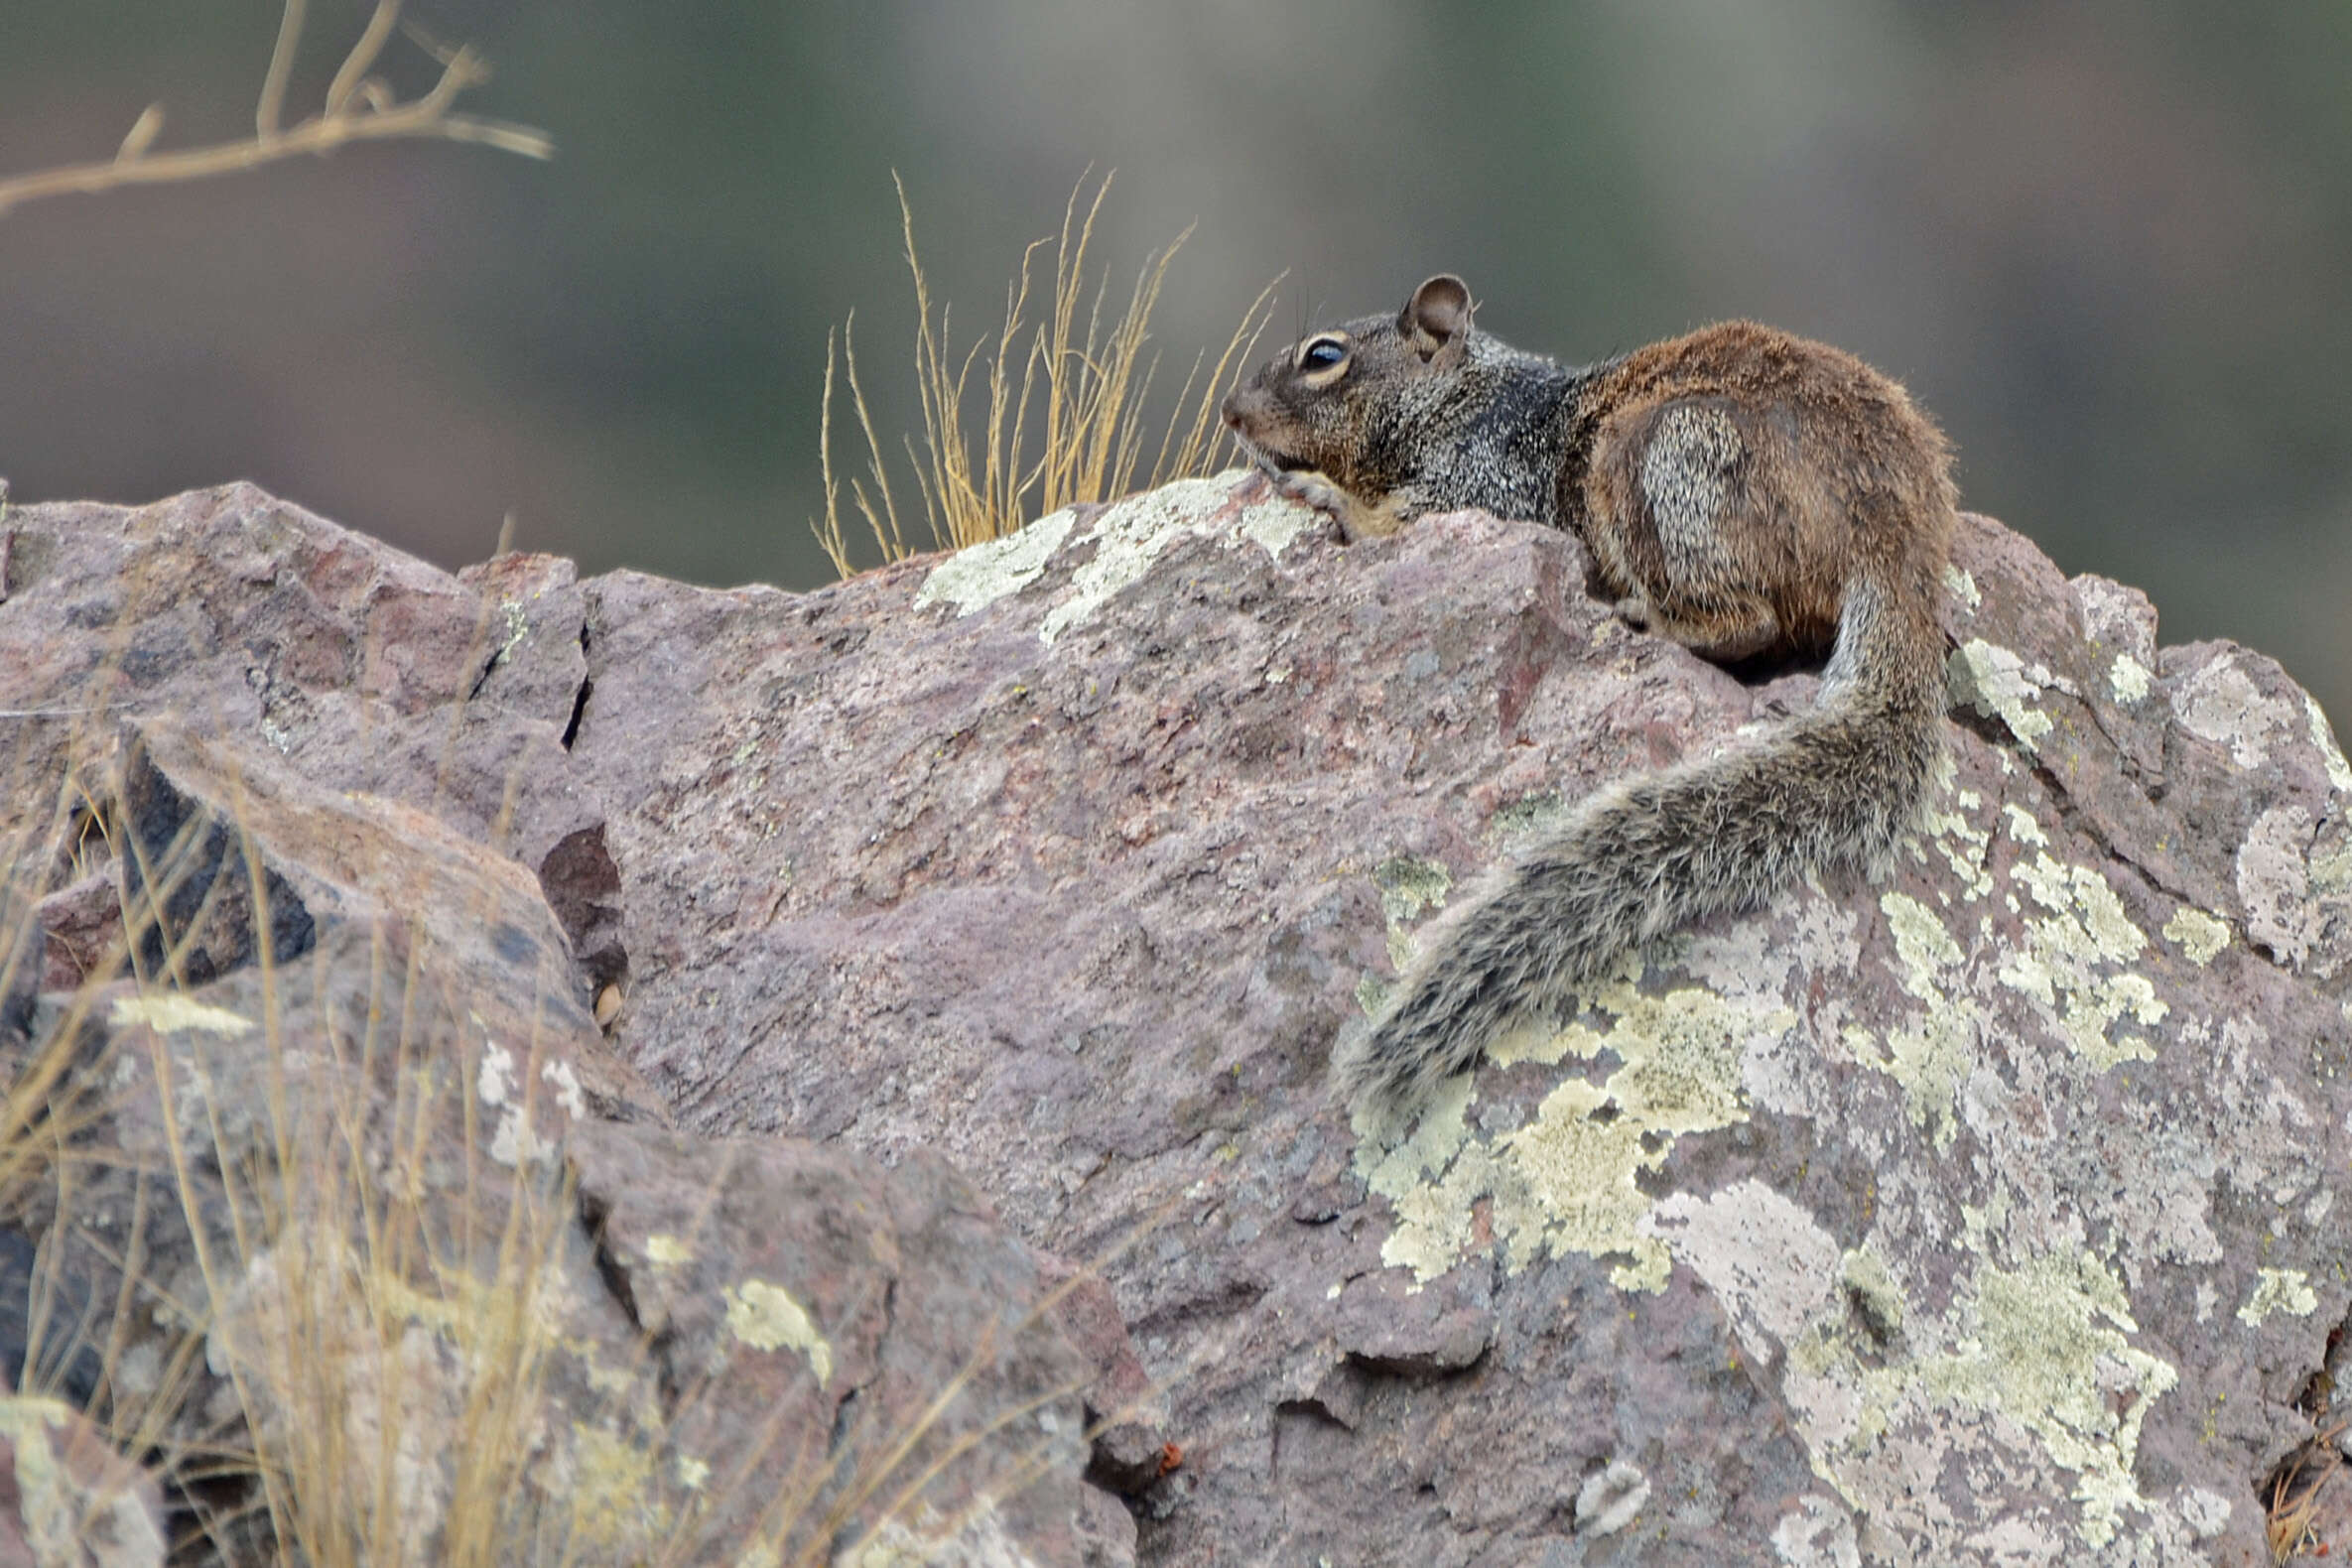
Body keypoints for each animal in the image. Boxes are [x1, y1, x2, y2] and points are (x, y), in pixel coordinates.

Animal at [1223, 276, 1956, 1123]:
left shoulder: (1485, 484)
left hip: (1662, 451)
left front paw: (1321, 491)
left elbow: (1396, 517)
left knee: (1750, 624)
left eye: (1323, 356)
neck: (1463, 399)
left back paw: (1648, 614)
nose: (1230, 413)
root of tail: (1901, 547)